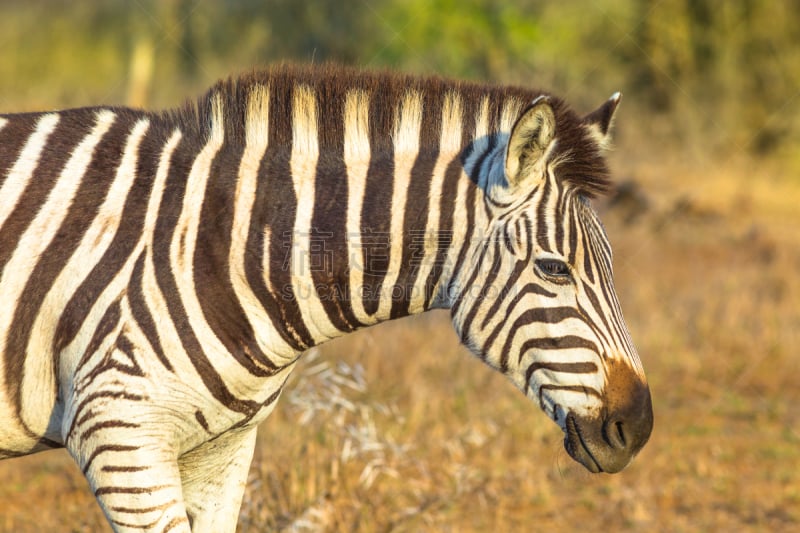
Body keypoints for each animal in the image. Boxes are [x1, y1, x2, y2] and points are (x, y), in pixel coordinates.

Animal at [1, 64, 648, 528]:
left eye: (614, 267)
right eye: (554, 269)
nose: (637, 429)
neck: (224, 249)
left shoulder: (220, 449)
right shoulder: (118, 436)